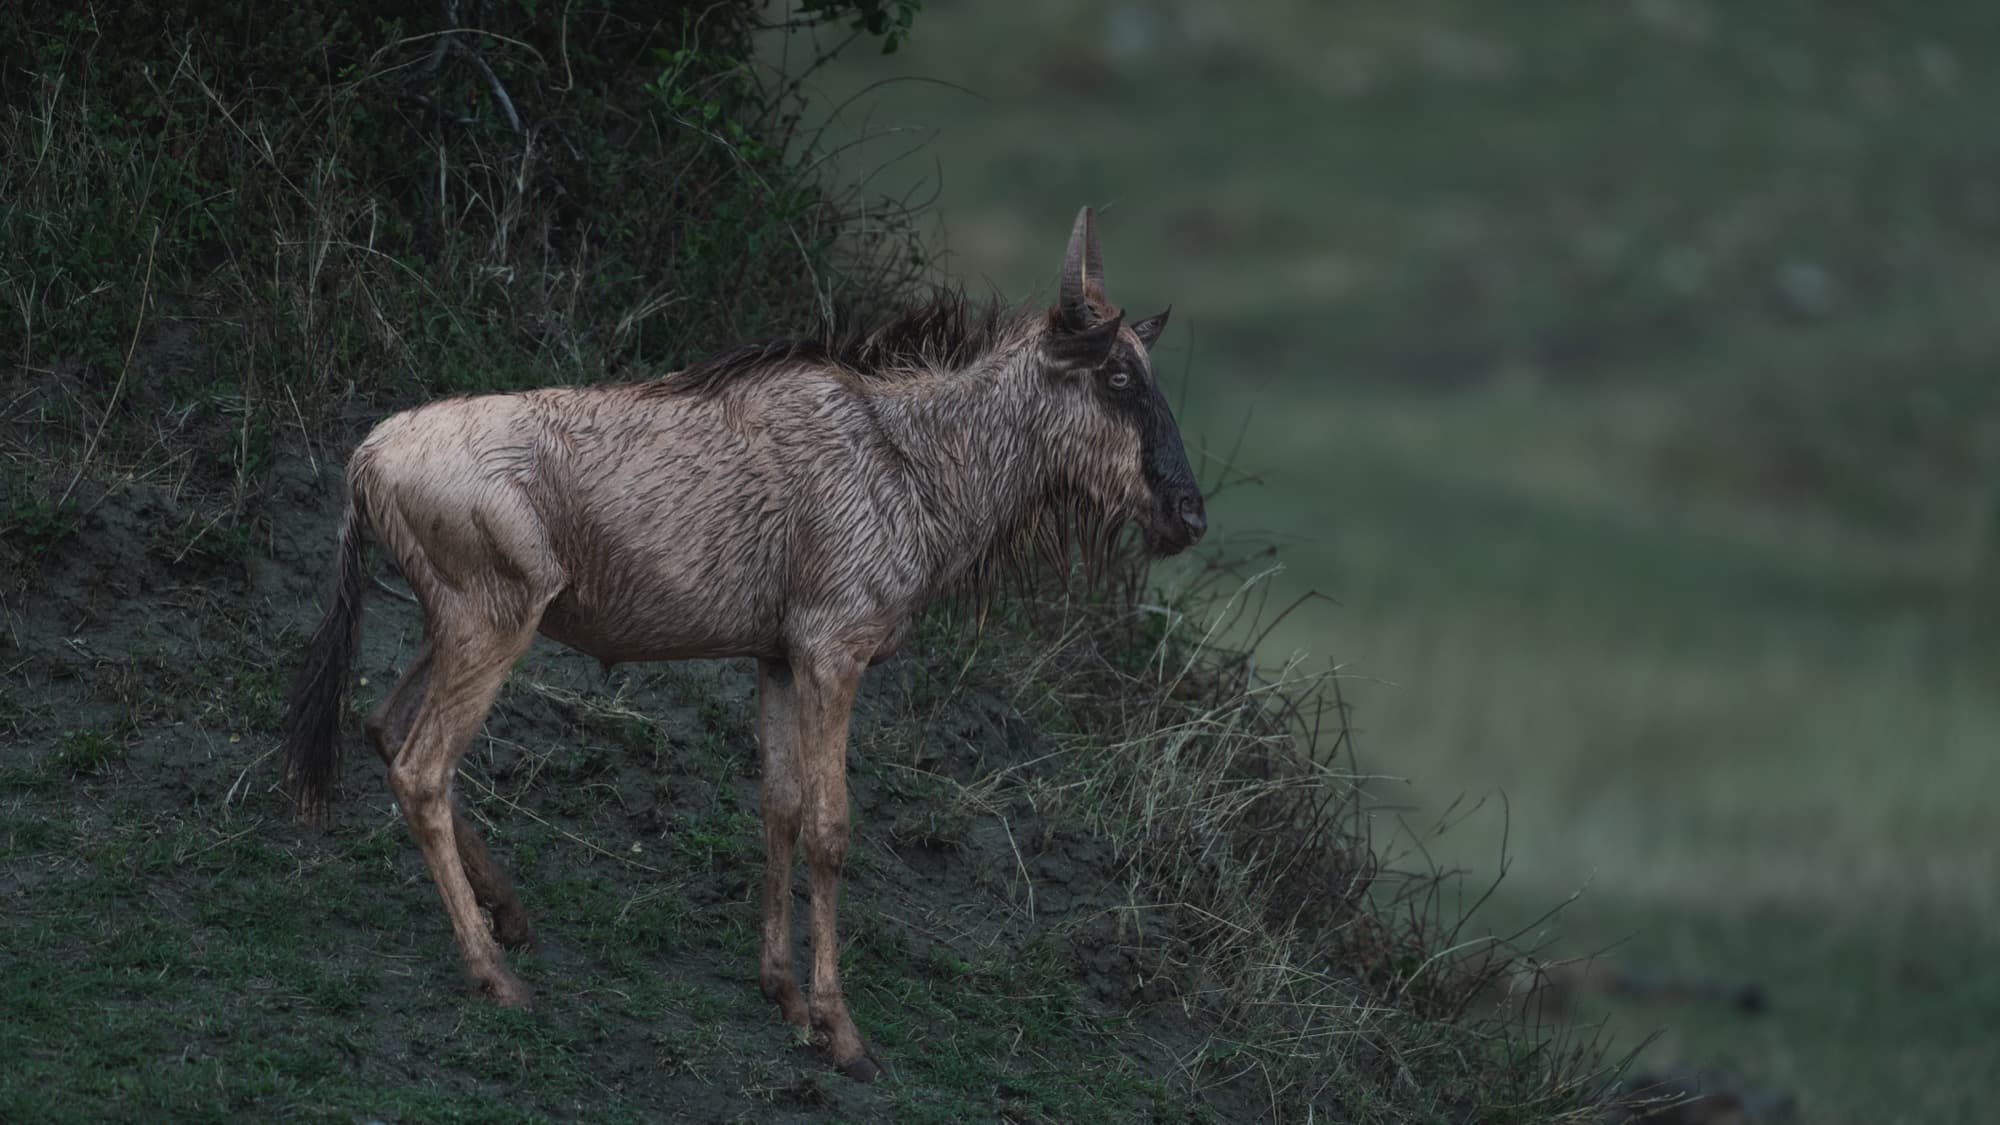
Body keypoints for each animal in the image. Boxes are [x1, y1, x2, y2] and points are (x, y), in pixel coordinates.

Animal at [282, 207, 1206, 1080]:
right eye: (1117, 375)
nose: (1189, 516)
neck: (910, 461)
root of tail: (367, 455)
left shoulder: (778, 658)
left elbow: (780, 805)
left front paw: (784, 994)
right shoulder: (834, 652)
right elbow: (831, 827)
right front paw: (842, 1032)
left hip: (457, 624)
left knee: (382, 724)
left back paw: (509, 916)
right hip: (495, 621)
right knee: (422, 767)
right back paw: (494, 975)